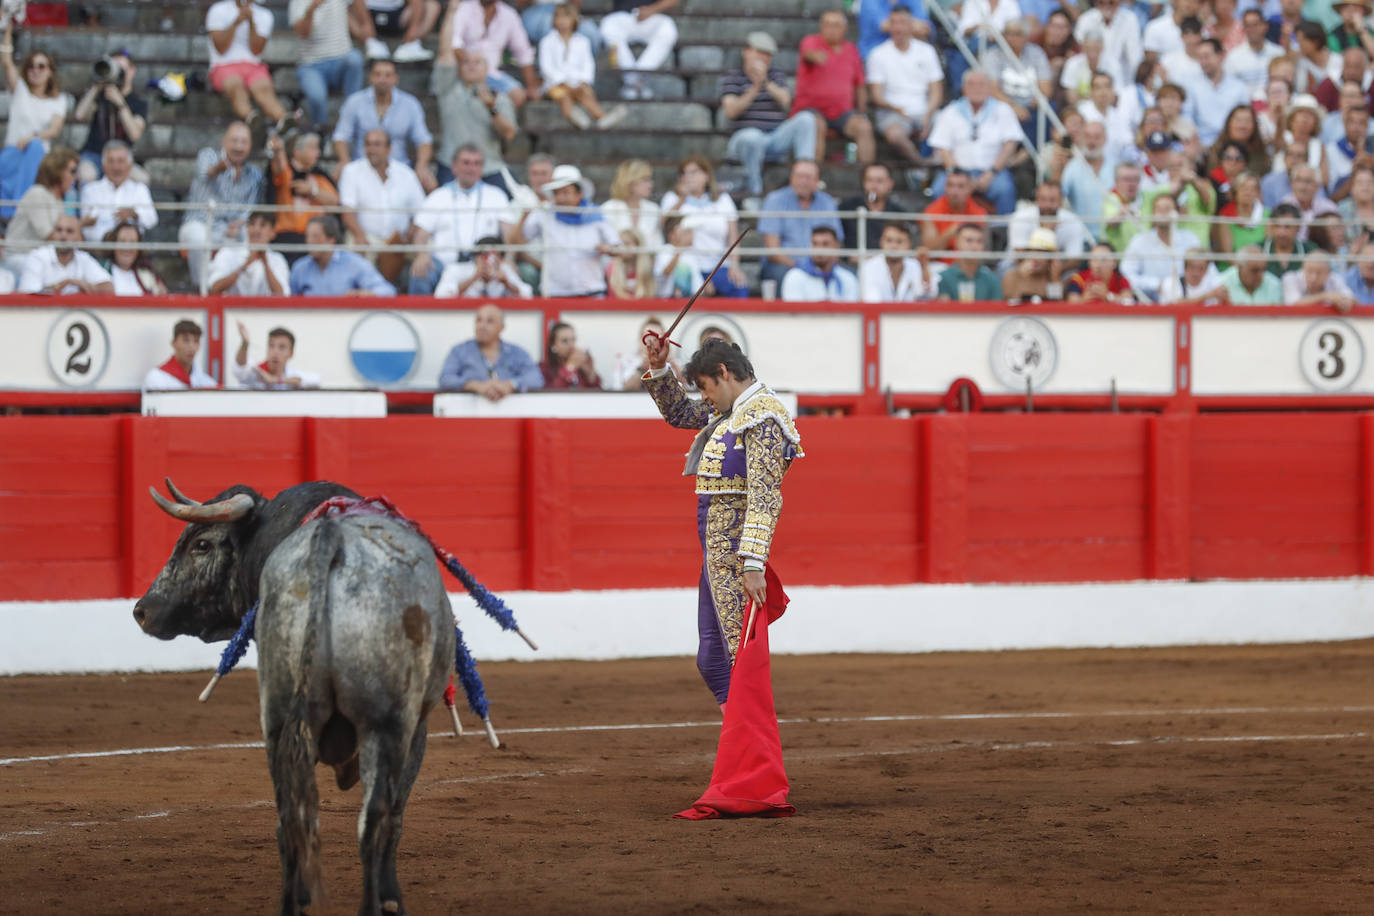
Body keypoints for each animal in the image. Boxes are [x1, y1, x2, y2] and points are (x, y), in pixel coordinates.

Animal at [132, 480, 456, 916]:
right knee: (372, 823)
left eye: (201, 544)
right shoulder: (415, 728)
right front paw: (392, 900)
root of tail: (331, 540)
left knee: (290, 820)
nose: (142, 611)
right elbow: (394, 819)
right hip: (386, 725)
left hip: (279, 722)